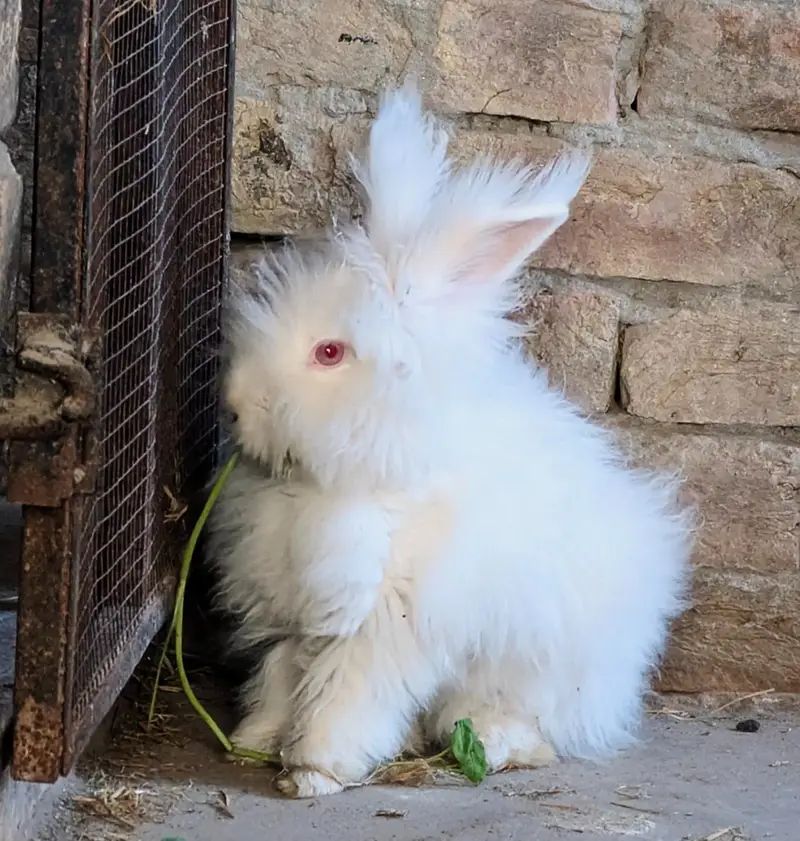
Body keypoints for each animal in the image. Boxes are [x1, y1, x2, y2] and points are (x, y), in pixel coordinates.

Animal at [207, 82, 693, 799]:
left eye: (329, 352)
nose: (236, 407)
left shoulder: (382, 622)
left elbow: (345, 697)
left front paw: (313, 772)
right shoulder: (296, 615)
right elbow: (281, 676)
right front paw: (257, 739)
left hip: (533, 670)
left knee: (526, 726)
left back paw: (492, 741)